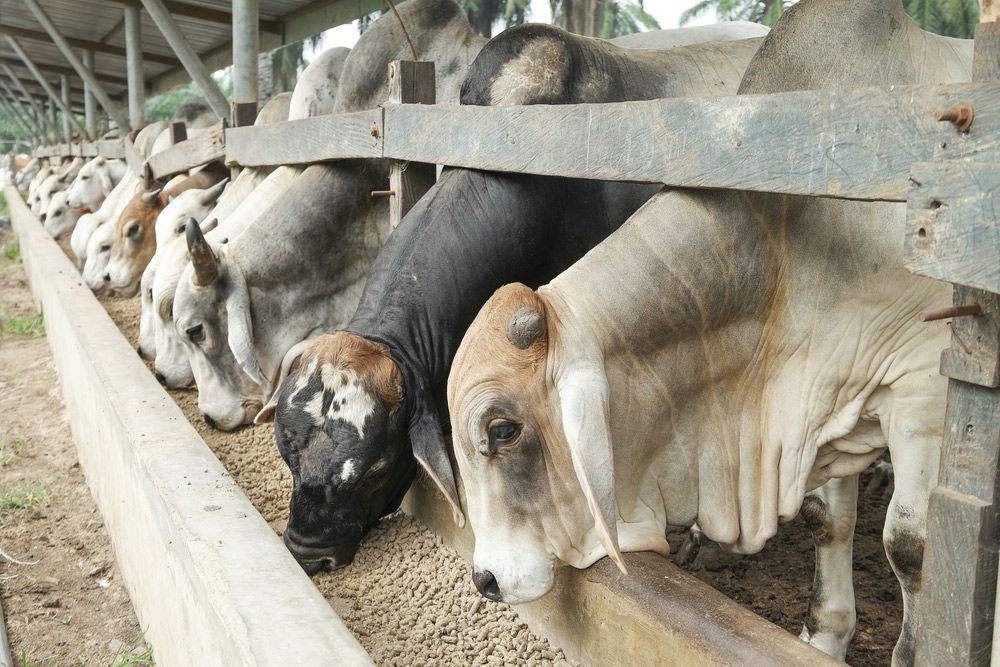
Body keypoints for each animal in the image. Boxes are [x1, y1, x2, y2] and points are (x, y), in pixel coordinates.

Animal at [445, 2, 970, 664]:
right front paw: (824, 636)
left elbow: (911, 546)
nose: (484, 578)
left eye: (503, 430)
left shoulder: (923, 391)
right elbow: (825, 518)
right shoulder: (823, 395)